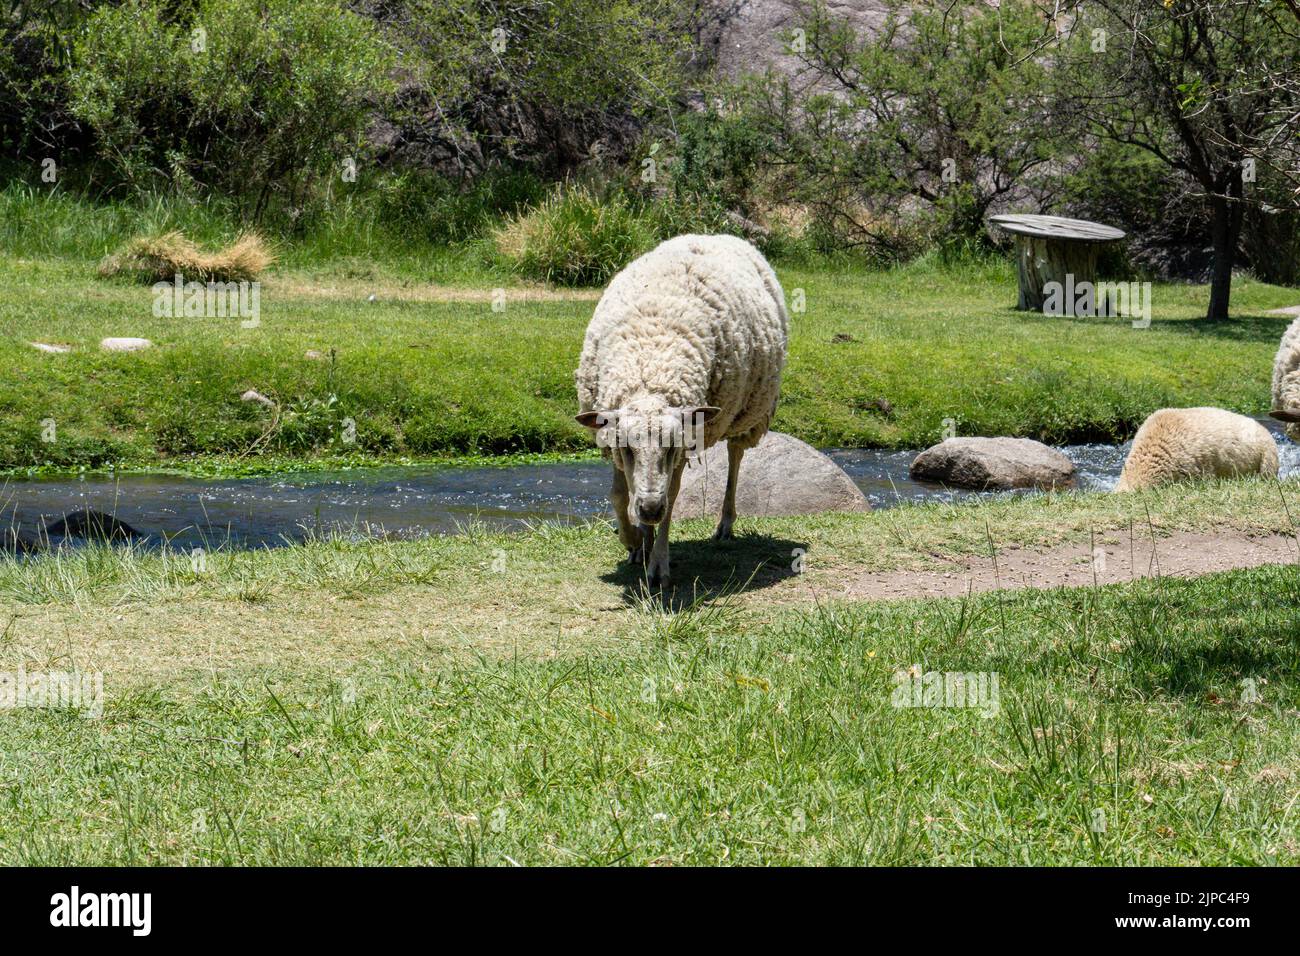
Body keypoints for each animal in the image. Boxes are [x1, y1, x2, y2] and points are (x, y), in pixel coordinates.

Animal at [575, 234, 789, 585]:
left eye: (670, 447)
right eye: (628, 448)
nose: (649, 509)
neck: (649, 367)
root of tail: (715, 235)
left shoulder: (682, 447)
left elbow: (672, 496)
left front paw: (658, 561)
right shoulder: (611, 438)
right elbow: (619, 494)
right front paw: (635, 542)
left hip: (747, 411)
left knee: (735, 455)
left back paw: (725, 523)